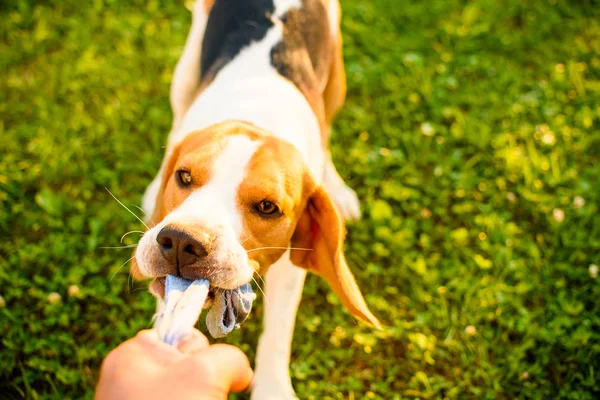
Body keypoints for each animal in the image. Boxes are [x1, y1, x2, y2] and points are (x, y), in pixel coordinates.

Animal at [134, 0, 382, 396]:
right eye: (184, 177)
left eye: (268, 207)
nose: (181, 242)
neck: (256, 117)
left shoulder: (289, 269)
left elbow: (277, 333)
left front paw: (272, 390)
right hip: (186, 68)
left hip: (336, 78)